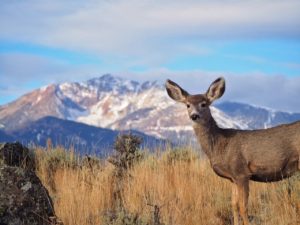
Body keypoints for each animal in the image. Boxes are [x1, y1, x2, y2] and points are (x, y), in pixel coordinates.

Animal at [165, 77, 300, 225]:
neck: (219, 145)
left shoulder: (241, 172)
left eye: (204, 104)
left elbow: (243, 207)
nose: (194, 116)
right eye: (188, 105)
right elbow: (234, 205)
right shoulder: (232, 178)